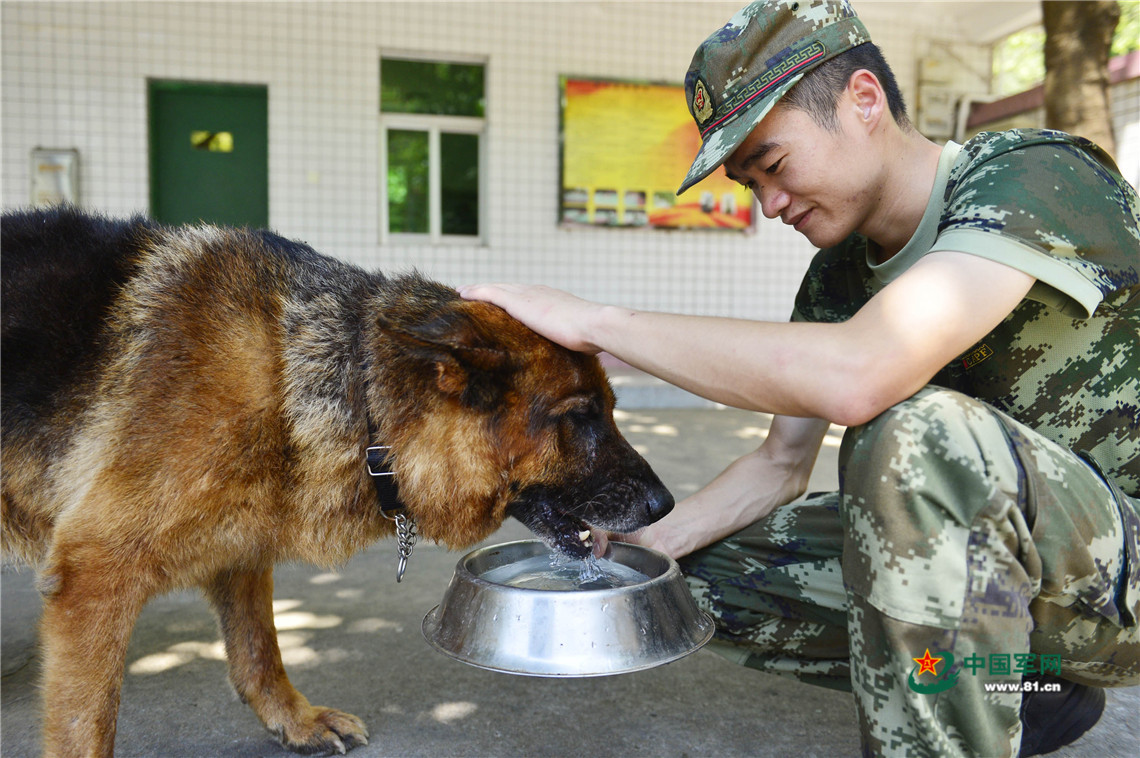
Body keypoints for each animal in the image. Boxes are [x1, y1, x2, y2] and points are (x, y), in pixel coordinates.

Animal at [0, 208, 670, 756]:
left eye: (611, 409)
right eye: (582, 416)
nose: (664, 504)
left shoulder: (241, 547)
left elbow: (258, 649)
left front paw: (294, 722)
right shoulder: (93, 575)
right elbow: (86, 726)